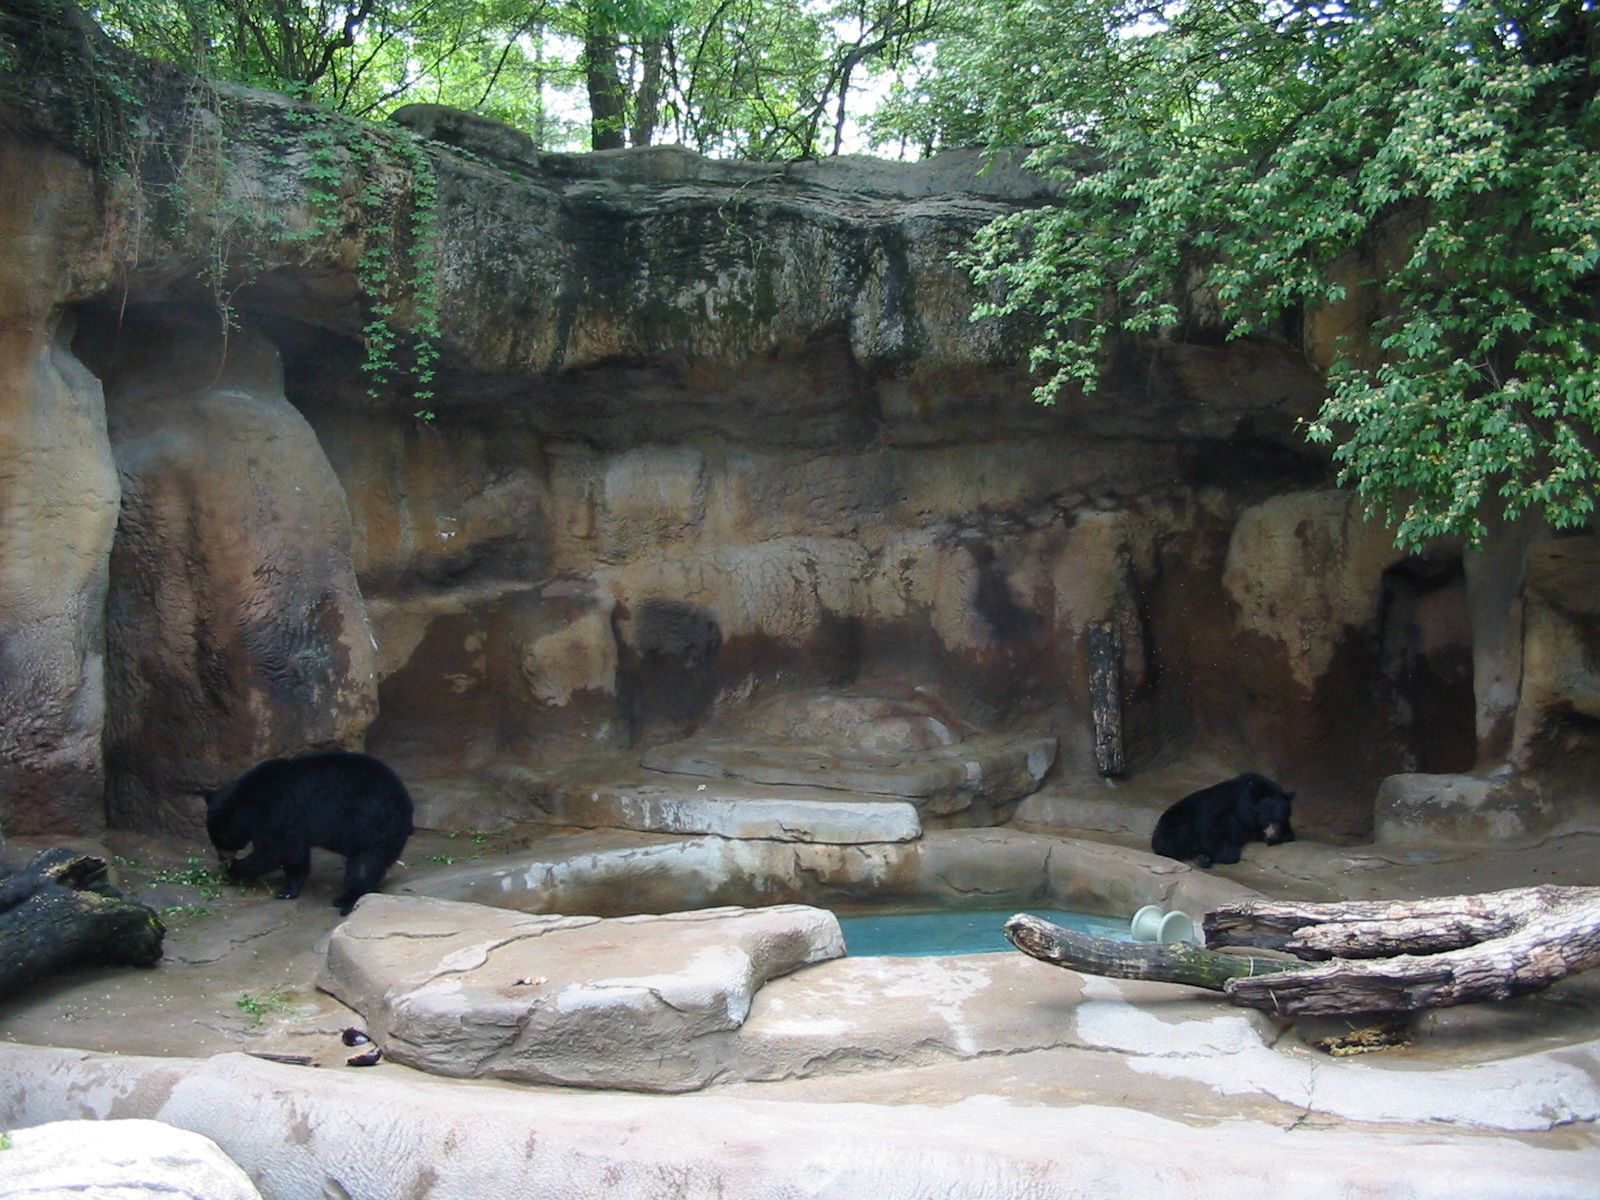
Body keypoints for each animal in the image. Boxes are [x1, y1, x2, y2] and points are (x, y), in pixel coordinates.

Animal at [205, 750, 414, 915]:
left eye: (218, 842)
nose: (222, 858)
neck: (248, 799)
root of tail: (406, 807)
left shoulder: (278, 808)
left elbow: (280, 849)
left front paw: (233, 870)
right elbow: (295, 855)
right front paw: (288, 888)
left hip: (369, 819)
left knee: (363, 862)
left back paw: (346, 900)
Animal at [1150, 772, 1295, 869]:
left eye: (1282, 818)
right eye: (1268, 818)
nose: (1273, 837)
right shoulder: (1222, 809)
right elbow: (1210, 830)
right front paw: (1227, 853)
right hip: (1176, 823)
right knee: (1173, 842)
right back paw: (1201, 857)